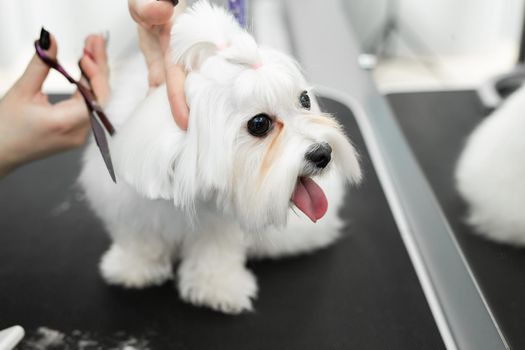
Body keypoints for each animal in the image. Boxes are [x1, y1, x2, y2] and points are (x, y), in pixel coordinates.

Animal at [80, 1, 362, 314]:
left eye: (305, 100)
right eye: (259, 123)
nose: (323, 153)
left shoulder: (219, 227)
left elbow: (214, 254)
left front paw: (216, 288)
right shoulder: (130, 207)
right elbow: (140, 238)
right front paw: (132, 268)